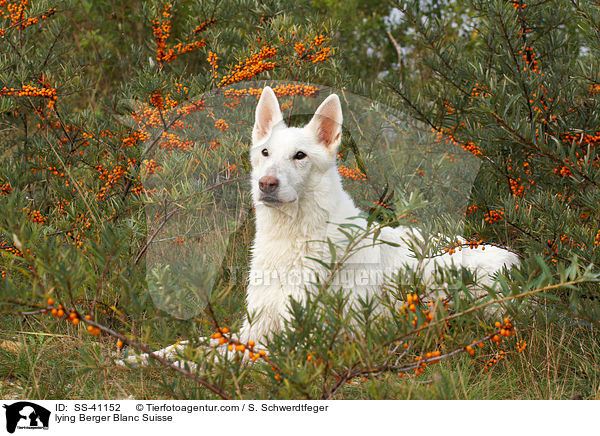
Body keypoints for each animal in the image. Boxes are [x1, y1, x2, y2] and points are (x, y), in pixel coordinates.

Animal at [120, 87, 516, 362]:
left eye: (300, 156)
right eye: (265, 153)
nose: (266, 184)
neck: (293, 240)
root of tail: (518, 262)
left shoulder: (297, 342)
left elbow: (212, 360)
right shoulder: (253, 328)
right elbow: (186, 346)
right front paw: (135, 358)